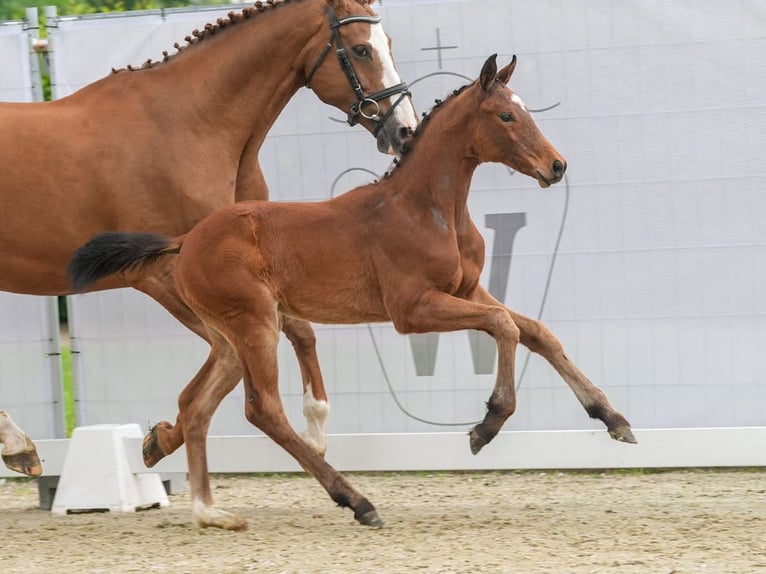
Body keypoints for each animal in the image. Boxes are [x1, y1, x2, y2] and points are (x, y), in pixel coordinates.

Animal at [0, 0, 420, 476]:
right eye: (362, 49)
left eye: (387, 43)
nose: (406, 129)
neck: (192, 126)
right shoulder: (164, 276)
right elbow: (232, 358)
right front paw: (161, 440)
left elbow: (295, 333)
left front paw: (314, 428)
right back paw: (18, 443)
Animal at [70, 54, 636, 532]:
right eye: (505, 116)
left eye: (523, 111)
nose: (557, 166)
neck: (428, 208)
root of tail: (185, 240)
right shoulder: (411, 309)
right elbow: (504, 328)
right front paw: (487, 425)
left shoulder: (467, 288)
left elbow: (535, 331)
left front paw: (613, 419)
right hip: (255, 323)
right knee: (262, 410)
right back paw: (357, 501)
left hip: (229, 337)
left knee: (196, 404)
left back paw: (210, 511)